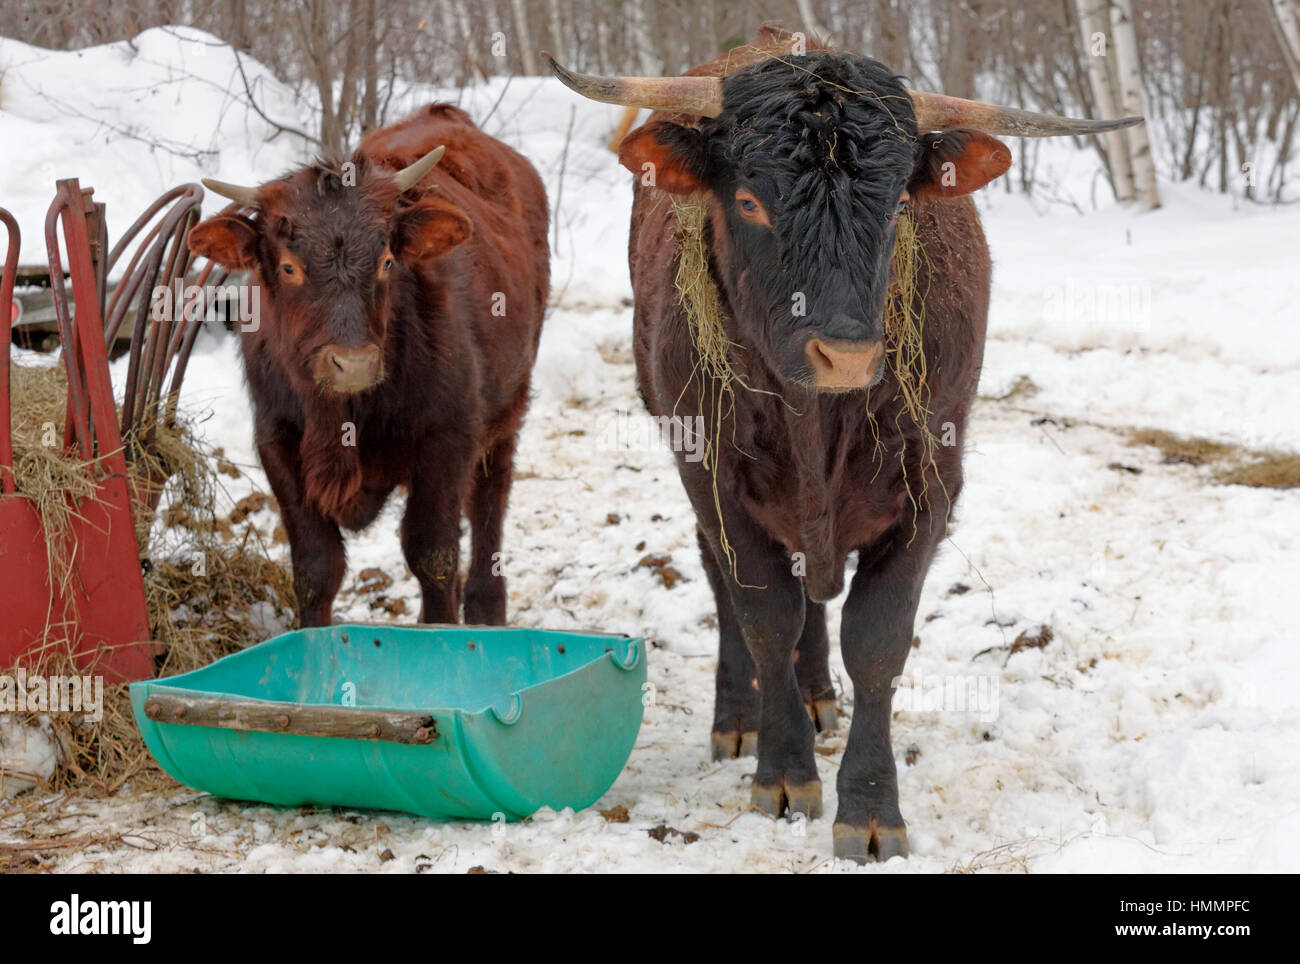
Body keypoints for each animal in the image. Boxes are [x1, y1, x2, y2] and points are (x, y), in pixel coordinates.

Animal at [187, 104, 549, 627]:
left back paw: (486, 606)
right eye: (290, 266)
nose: (353, 363)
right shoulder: (277, 442)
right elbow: (316, 565)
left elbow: (432, 552)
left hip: (507, 408)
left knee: (489, 501)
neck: (343, 416)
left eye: (387, 260)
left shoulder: (449, 437)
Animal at [548, 27, 1140, 861]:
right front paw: (783, 772)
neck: (813, 418)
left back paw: (818, 694)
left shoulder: (933, 481)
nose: (848, 355)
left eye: (899, 202)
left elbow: (876, 638)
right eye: (750, 200)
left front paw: (868, 806)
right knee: (728, 584)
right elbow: (765, 615)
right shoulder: (713, 476)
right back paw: (739, 717)